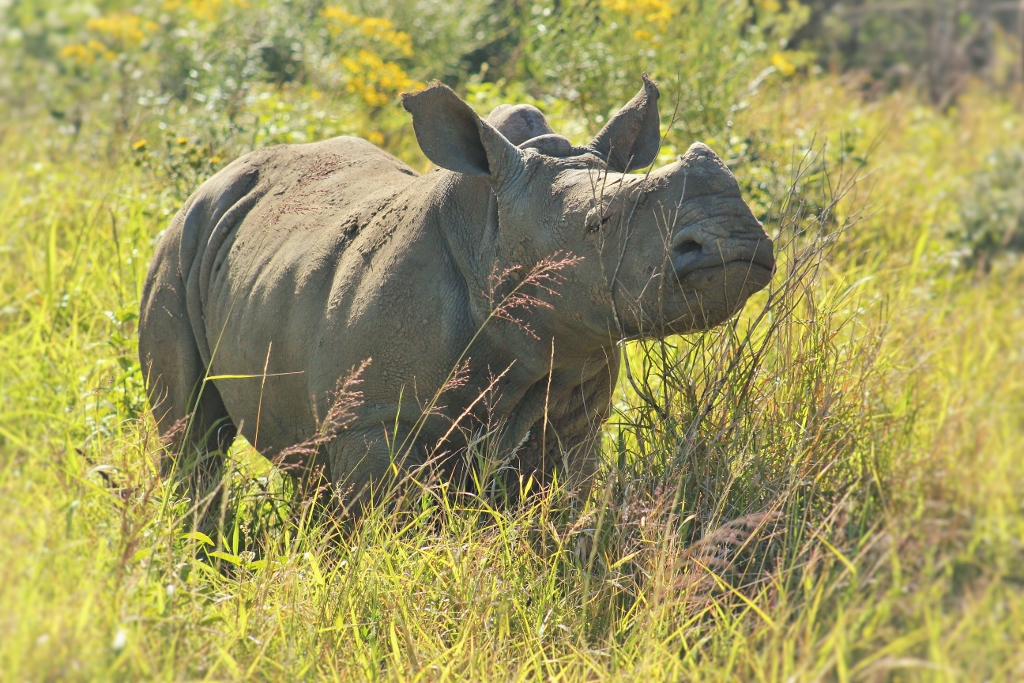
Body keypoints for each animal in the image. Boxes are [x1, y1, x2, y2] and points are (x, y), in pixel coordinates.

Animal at [138, 77, 774, 509]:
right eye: (599, 223)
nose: (736, 237)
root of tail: (218, 175)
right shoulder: (374, 421)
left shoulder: (572, 412)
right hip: (179, 241)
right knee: (192, 440)